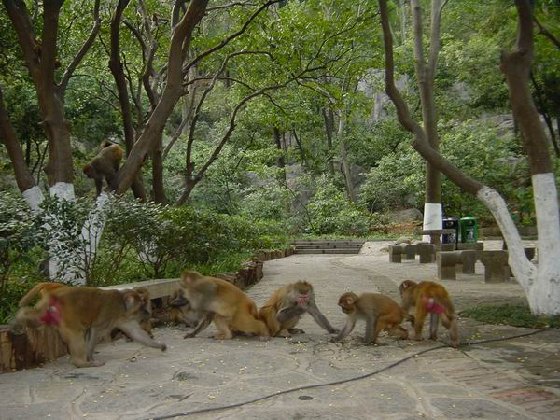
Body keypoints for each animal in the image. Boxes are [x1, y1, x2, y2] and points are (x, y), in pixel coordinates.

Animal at [13, 282, 166, 368]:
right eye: (141, 306)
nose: (147, 312)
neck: (122, 305)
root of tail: (57, 291)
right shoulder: (109, 315)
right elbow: (95, 331)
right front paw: (90, 357)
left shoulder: (123, 318)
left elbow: (135, 332)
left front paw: (159, 346)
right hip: (67, 317)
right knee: (76, 335)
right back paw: (82, 363)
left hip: (47, 309)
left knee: (37, 319)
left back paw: (19, 317)